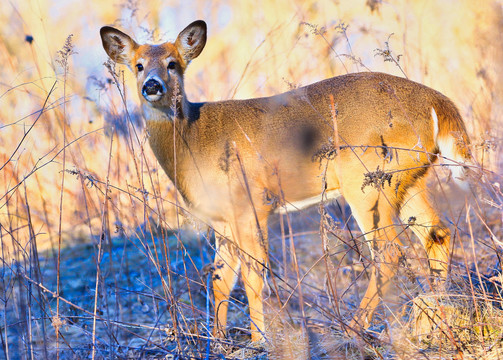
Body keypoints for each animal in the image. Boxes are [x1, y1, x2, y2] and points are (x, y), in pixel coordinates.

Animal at [99, 19, 472, 344]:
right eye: (138, 65)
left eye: (173, 64)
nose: (152, 86)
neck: (195, 139)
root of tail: (439, 103)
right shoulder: (222, 217)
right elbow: (220, 279)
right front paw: (218, 340)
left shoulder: (251, 203)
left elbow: (252, 276)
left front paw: (259, 340)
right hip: (409, 179)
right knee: (438, 233)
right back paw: (433, 315)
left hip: (369, 180)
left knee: (390, 251)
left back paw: (354, 328)